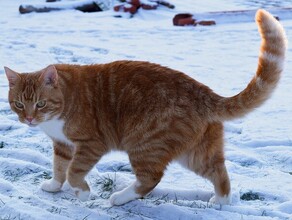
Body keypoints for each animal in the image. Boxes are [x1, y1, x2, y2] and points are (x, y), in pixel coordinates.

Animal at [4, 9, 288, 206]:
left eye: (40, 103)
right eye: (18, 104)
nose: (29, 119)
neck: (63, 103)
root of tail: (203, 92)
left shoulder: (90, 144)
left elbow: (74, 170)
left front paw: (81, 192)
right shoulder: (62, 144)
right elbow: (59, 166)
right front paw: (54, 185)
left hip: (144, 144)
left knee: (151, 178)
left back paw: (120, 198)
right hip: (196, 153)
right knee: (219, 171)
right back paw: (221, 201)